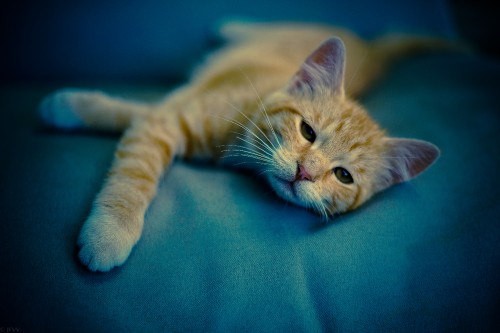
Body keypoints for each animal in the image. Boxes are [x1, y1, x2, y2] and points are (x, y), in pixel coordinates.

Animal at [40, 22, 438, 270]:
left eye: (343, 175)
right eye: (307, 132)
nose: (304, 172)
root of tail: (371, 49)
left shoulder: (163, 114)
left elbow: (133, 117)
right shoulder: (169, 115)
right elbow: (133, 174)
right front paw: (109, 233)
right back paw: (228, 26)